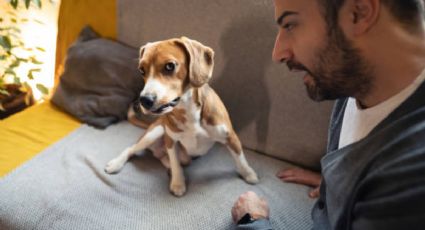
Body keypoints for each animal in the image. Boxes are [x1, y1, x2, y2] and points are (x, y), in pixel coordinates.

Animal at [105, 36, 258, 197]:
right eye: (141, 70)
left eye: (169, 66)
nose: (144, 100)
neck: (187, 109)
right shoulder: (171, 140)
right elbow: (175, 163)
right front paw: (178, 183)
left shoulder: (231, 136)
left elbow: (240, 158)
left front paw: (248, 174)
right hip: (155, 133)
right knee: (131, 149)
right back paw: (116, 163)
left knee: (166, 159)